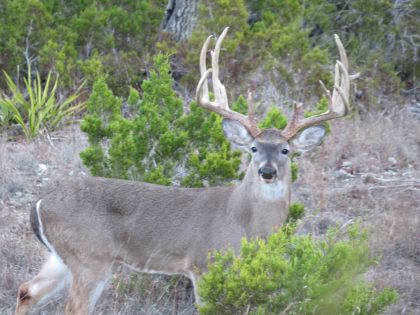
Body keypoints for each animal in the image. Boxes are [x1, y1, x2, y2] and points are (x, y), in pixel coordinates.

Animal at [16, 28, 358, 314]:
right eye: (253, 148)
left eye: (286, 150)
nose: (267, 171)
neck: (246, 226)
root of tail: (40, 204)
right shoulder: (202, 264)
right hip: (91, 256)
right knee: (71, 307)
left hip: (62, 257)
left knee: (26, 290)